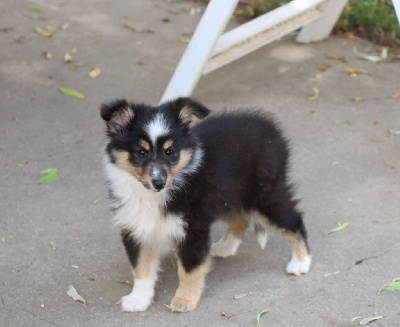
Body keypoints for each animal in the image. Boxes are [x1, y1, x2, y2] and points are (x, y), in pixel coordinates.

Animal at [99, 98, 310, 316]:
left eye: (170, 152)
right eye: (141, 152)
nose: (159, 182)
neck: (152, 195)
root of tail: (272, 129)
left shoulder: (194, 228)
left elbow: (189, 270)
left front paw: (184, 301)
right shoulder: (135, 227)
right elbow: (141, 269)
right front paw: (139, 300)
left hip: (263, 196)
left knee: (294, 221)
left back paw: (301, 262)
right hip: (230, 196)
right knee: (240, 218)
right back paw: (225, 247)